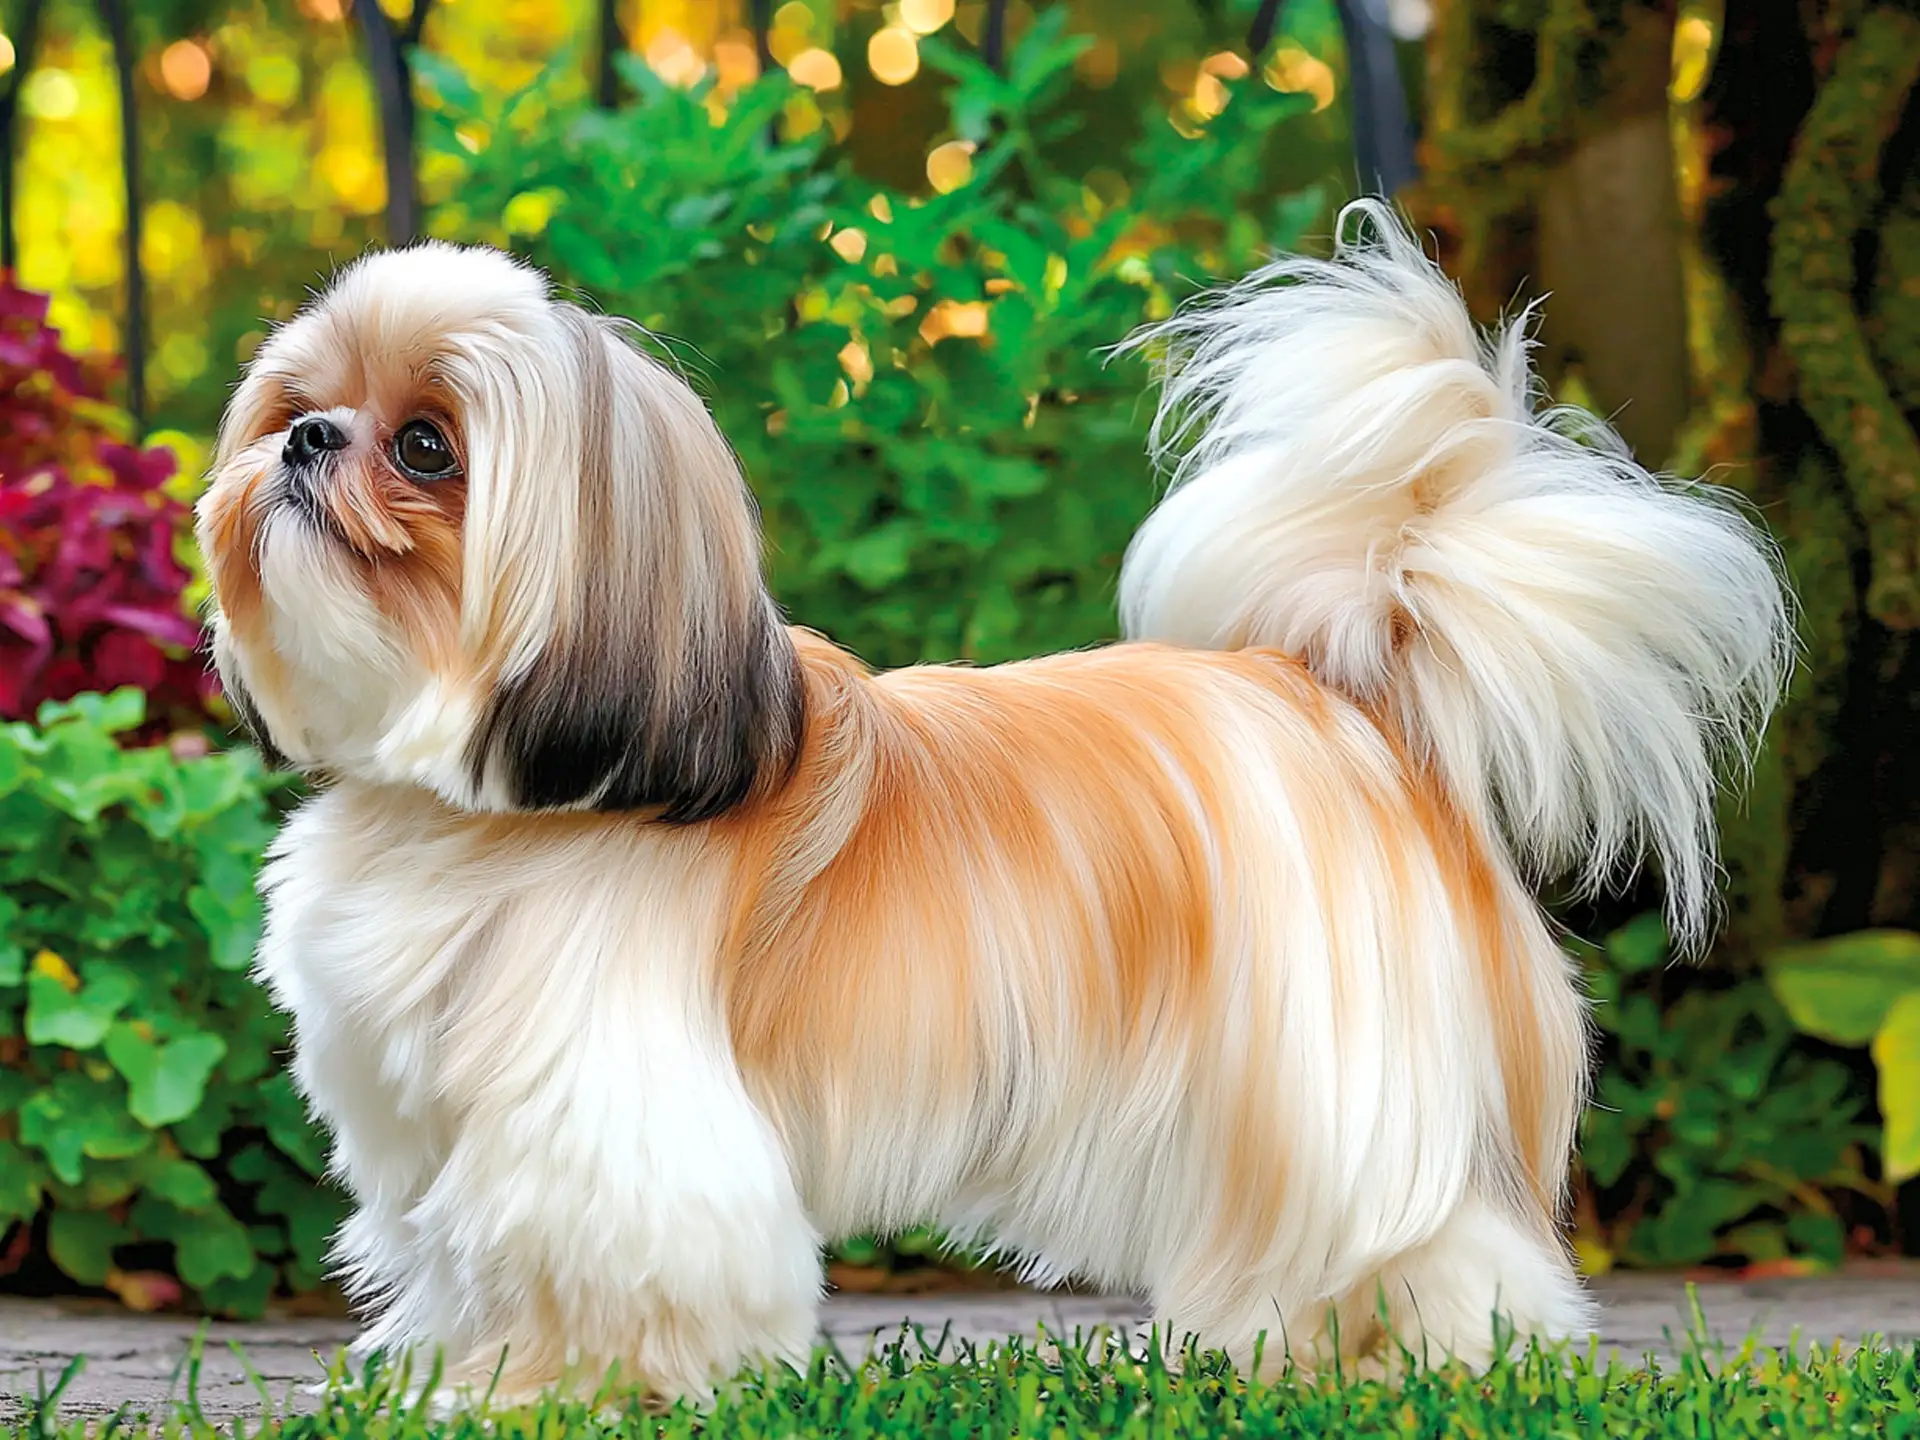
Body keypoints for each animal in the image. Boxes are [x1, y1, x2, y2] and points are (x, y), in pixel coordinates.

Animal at [194, 203, 1781, 1413]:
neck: (479, 805)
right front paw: (454, 1378)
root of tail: (1349, 695)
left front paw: (557, 1394)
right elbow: (465, 1261)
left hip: (1341, 1098)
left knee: (1428, 1246)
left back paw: (1403, 1367)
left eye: (428, 447)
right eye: (293, 405)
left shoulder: (608, 1127)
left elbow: (604, 1270)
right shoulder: (445, 1123)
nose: (307, 443)